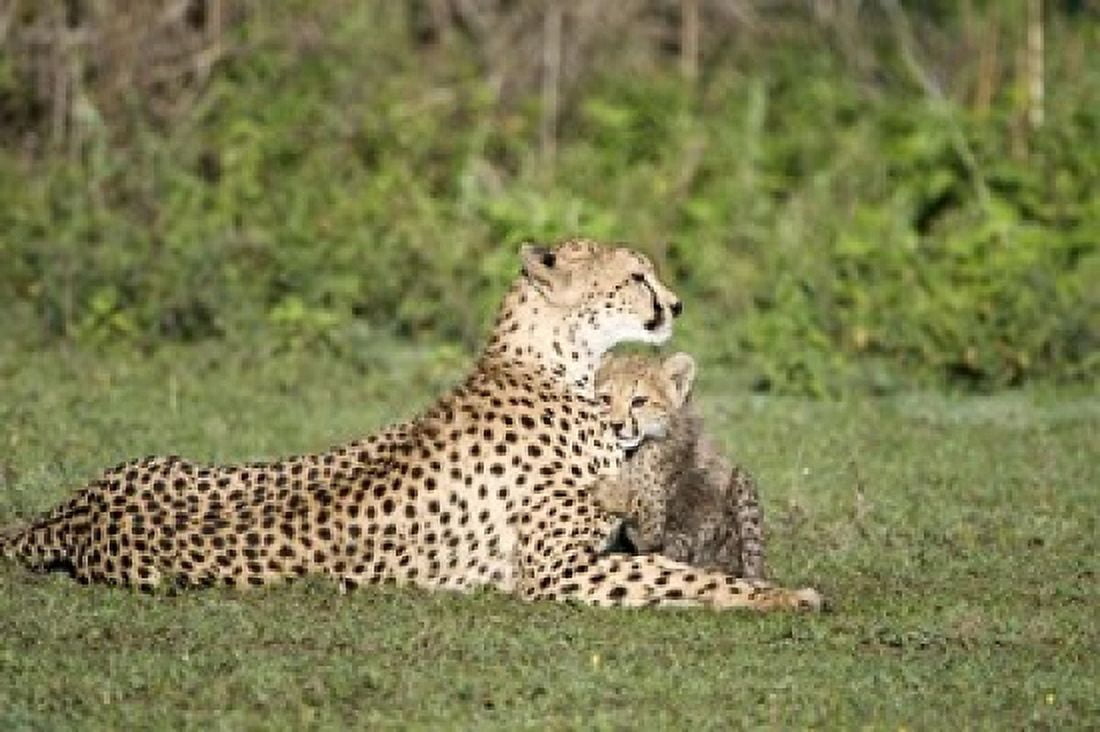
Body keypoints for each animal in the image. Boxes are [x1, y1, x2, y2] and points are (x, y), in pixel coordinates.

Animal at [593, 351, 767, 579]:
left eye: (639, 402)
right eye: (606, 399)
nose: (615, 425)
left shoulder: (661, 535)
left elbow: (642, 512)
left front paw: (611, 492)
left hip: (742, 483)